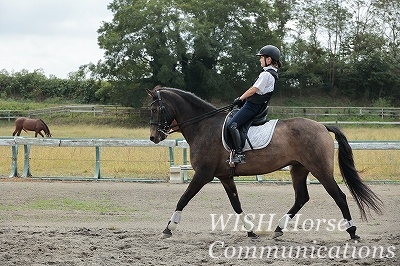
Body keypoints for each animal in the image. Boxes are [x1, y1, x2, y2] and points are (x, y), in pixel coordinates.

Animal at [145, 87, 382, 241]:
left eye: (156, 109)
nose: (154, 137)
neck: (204, 125)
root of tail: (322, 126)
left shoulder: (203, 174)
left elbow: (183, 199)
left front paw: (169, 227)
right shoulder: (225, 176)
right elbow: (236, 204)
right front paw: (250, 231)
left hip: (320, 170)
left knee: (339, 196)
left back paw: (352, 232)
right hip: (299, 169)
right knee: (301, 197)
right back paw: (278, 228)